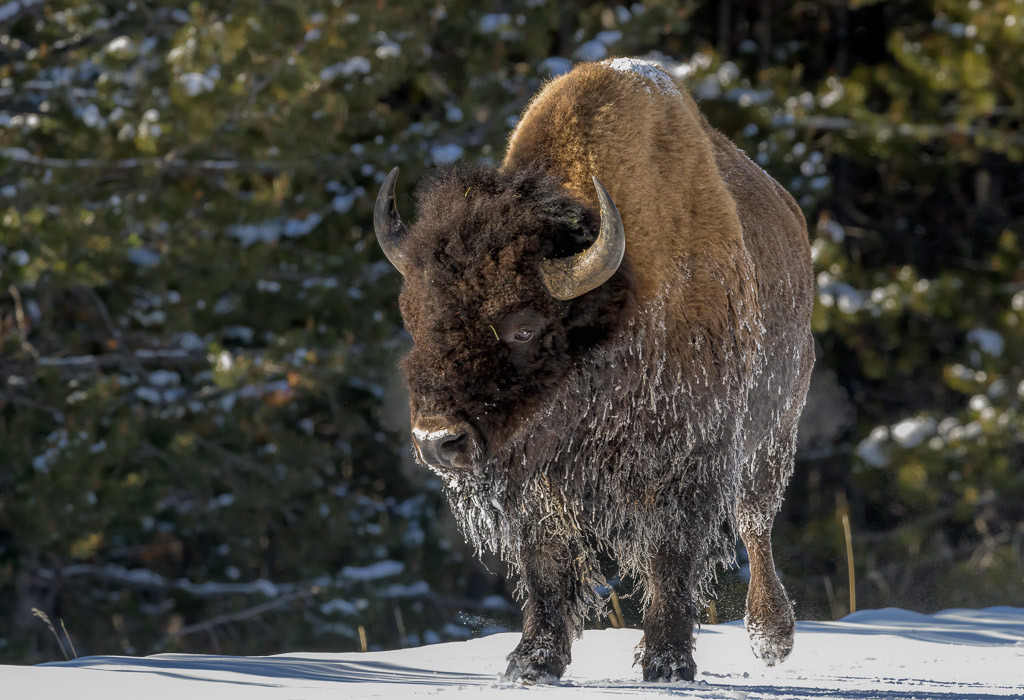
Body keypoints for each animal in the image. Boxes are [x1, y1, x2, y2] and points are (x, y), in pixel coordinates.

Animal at [373, 57, 814, 684]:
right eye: (414, 317)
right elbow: (546, 562)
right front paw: (532, 662)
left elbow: (671, 556)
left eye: (524, 326)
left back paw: (772, 639)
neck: (616, 301)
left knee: (756, 523)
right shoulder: (537, 479)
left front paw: (667, 664)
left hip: (773, 435)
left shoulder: (687, 456)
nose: (438, 440)